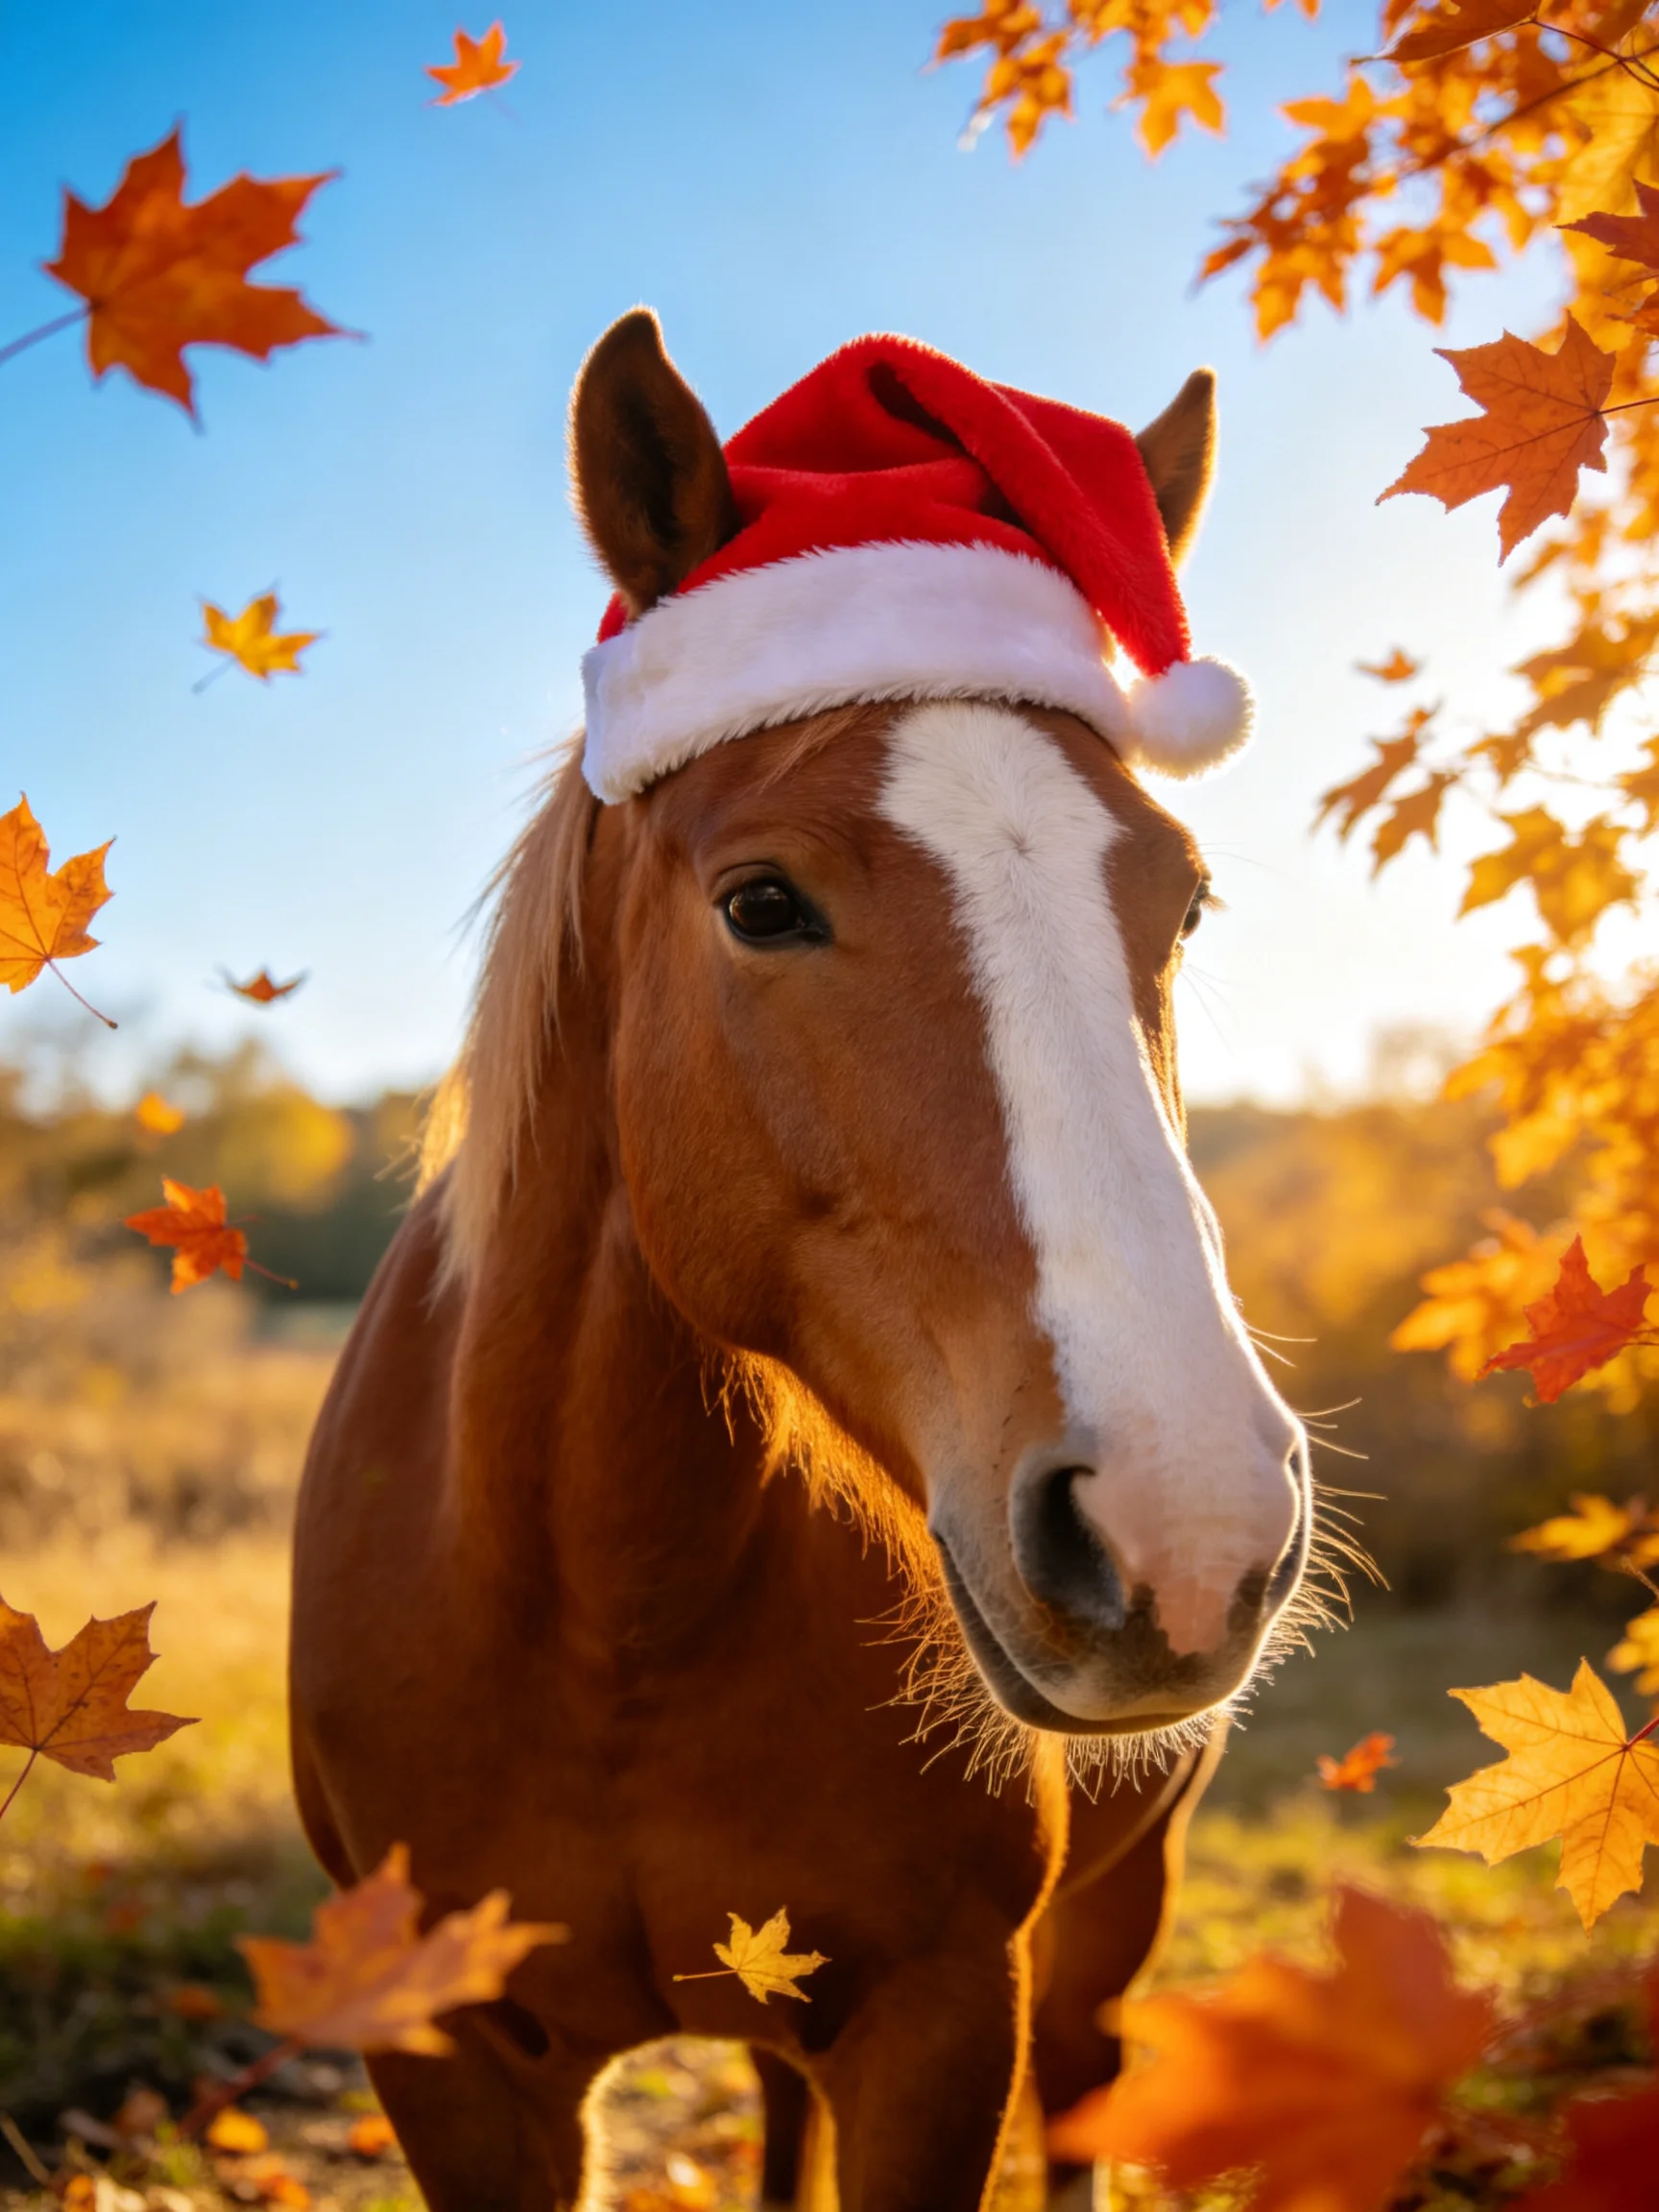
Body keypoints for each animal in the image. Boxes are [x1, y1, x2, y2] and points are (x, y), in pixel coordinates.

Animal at [289, 310, 1315, 2212]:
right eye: (761, 901)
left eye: (1186, 897)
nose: (1189, 1523)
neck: (606, 1607)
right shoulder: (450, 2056)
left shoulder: (941, 2019)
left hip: (1112, 1917)